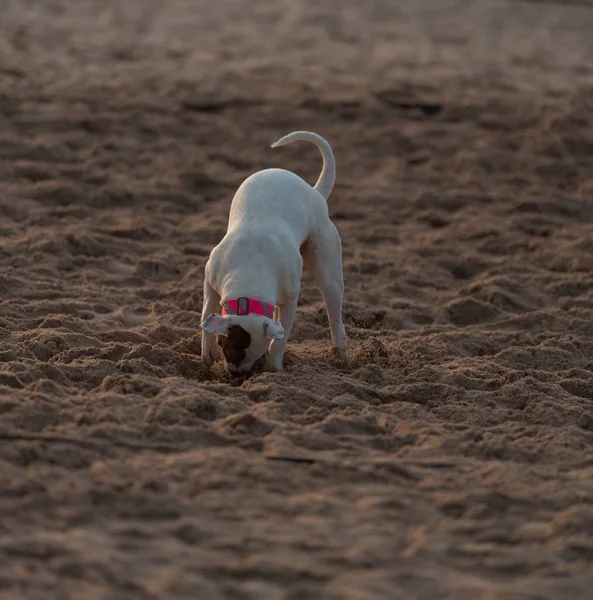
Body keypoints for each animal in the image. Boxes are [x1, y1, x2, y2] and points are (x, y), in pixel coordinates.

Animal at [199, 132, 346, 378]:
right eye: (227, 348)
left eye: (253, 354)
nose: (238, 375)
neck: (249, 274)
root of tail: (314, 192)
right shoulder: (210, 280)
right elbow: (206, 313)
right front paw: (207, 350)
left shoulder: (291, 299)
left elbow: (280, 337)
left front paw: (272, 365)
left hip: (327, 267)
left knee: (334, 312)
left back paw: (341, 353)